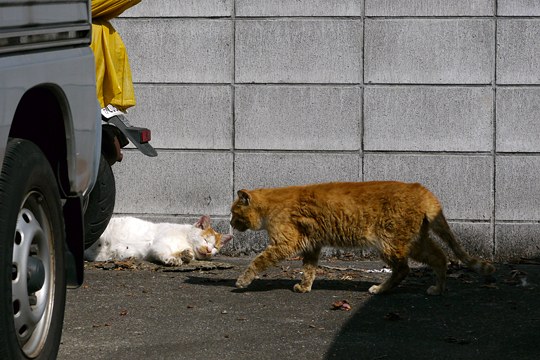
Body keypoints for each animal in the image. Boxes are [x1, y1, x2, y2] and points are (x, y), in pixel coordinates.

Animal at [83, 215, 231, 266]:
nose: (209, 250)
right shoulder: (159, 245)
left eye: (215, 247)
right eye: (205, 240)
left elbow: (184, 253)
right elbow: (163, 252)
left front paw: (184, 255)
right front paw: (172, 259)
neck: (185, 240)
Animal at [230, 181, 496, 294]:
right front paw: (304, 287)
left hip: (389, 243)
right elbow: (309, 269)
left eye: (234, 212)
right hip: (415, 242)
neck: (269, 206)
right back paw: (438, 289)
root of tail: (422, 189)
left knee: (403, 269)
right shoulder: (312, 246)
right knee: (441, 258)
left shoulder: (285, 243)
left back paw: (379, 289)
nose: (231, 223)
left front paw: (242, 281)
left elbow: (258, 261)